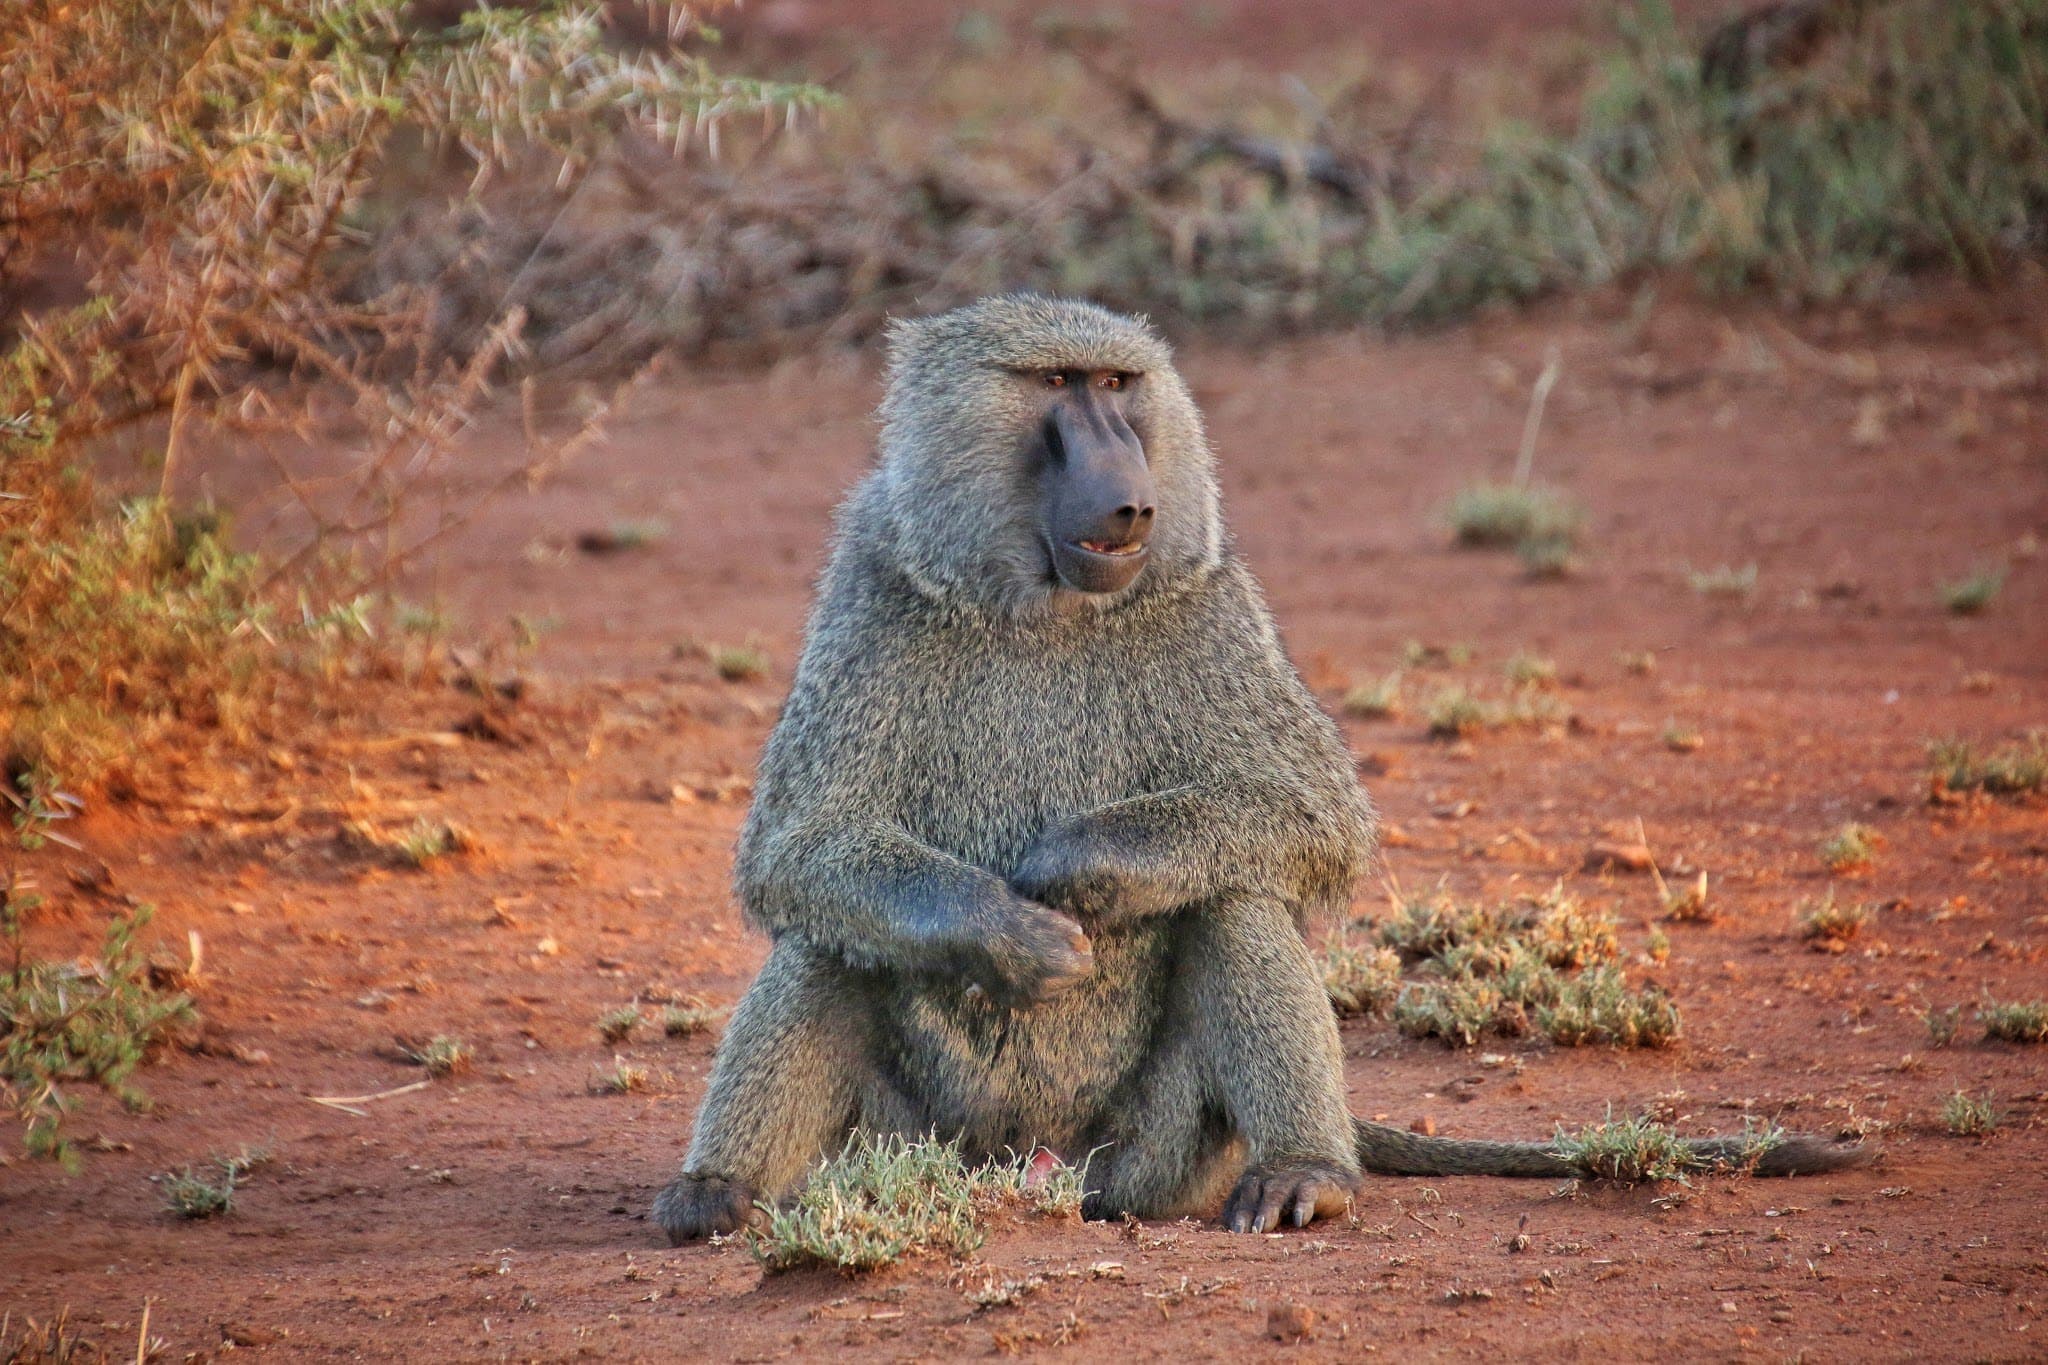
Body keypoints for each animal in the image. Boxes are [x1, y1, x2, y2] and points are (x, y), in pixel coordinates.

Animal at [653, 294, 1872, 1244]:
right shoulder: (871, 575)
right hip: (918, 1145)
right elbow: (798, 847)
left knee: (1229, 894)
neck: (1041, 604)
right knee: (829, 933)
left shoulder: (1210, 593)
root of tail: (1031, 1170)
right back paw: (718, 1193)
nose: (1129, 491)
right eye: (1054, 383)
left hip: (1150, 1165)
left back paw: (1307, 1173)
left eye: (1119, 382)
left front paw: (1077, 869)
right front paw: (1009, 933)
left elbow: (1311, 814)